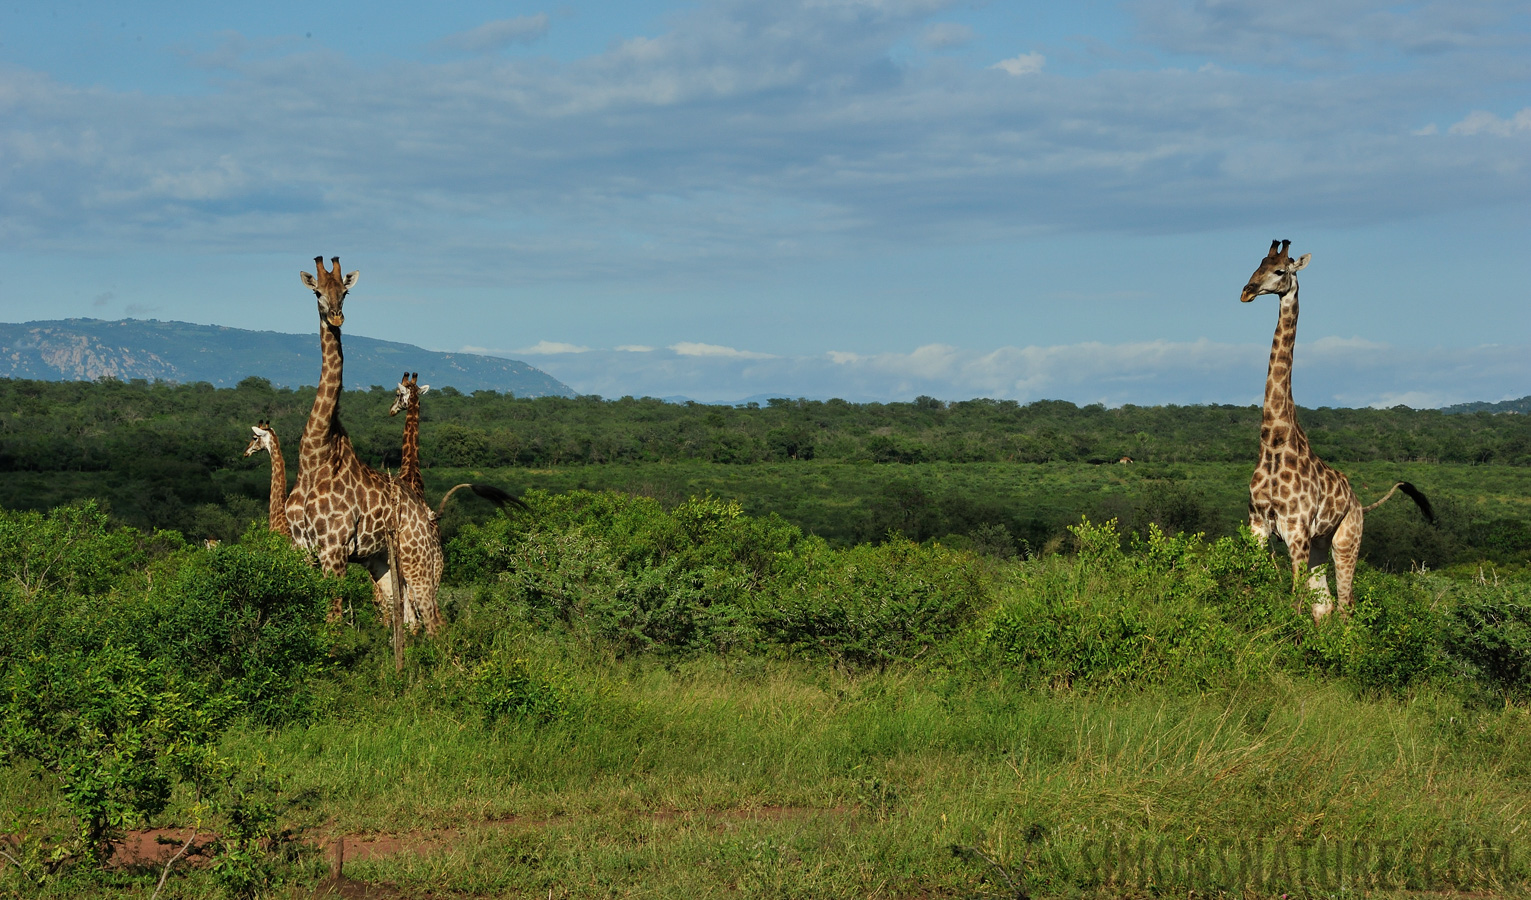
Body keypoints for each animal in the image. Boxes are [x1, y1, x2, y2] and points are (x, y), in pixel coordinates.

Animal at [284, 252, 447, 633]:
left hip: (418, 562)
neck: (314, 455)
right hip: (383, 563)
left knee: (435, 622)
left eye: (345, 293)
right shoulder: (302, 548)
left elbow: (332, 619)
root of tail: (427, 518)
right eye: (317, 293)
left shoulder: (334, 548)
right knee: (406, 621)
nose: (336, 317)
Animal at [1243, 238, 1433, 618]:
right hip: (1320, 545)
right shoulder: (1258, 525)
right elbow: (1251, 590)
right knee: (1326, 605)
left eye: (1280, 271)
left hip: (1346, 543)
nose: (1247, 291)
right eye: (1256, 266)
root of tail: (1361, 504)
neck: (1273, 442)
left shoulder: (1296, 532)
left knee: (1345, 605)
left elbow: (1295, 601)